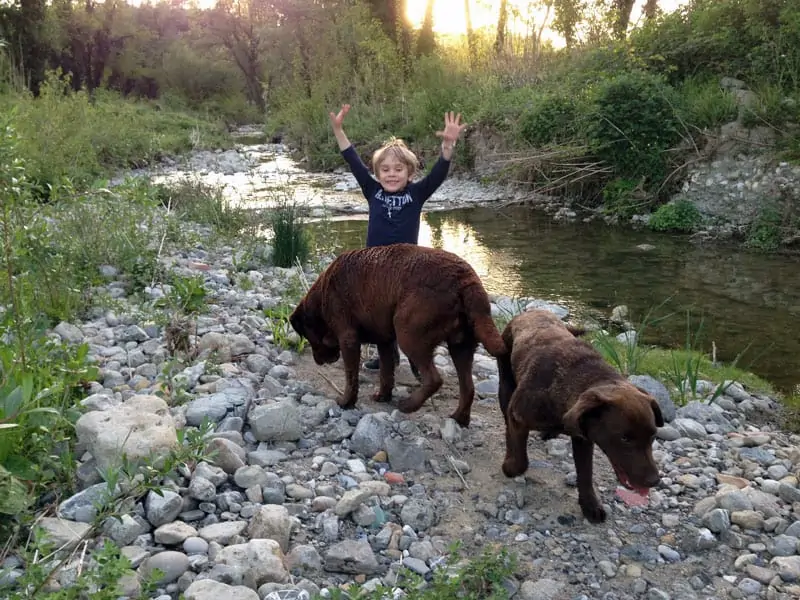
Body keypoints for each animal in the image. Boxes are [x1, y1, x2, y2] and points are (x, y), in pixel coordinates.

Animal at [290, 244, 510, 426]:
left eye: (307, 337)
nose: (318, 361)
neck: (322, 296)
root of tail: (465, 280)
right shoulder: (385, 341)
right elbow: (386, 372)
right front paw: (382, 396)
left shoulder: (348, 338)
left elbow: (351, 376)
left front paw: (345, 402)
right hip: (461, 345)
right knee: (468, 387)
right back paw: (459, 418)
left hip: (409, 334)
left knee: (433, 379)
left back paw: (408, 405)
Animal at [500, 312, 664, 524]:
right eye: (624, 438)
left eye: (653, 436)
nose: (654, 481)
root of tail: (530, 312)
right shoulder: (518, 417)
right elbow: (521, 460)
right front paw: (510, 466)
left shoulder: (583, 438)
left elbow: (585, 474)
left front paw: (590, 505)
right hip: (505, 384)